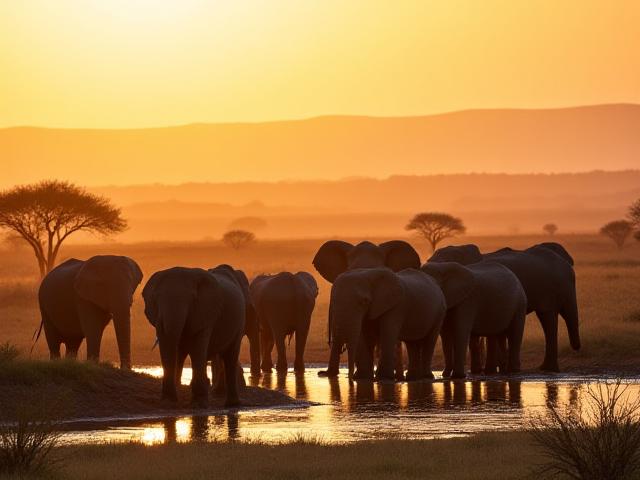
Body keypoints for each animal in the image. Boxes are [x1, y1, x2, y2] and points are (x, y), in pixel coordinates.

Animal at [142, 265, 245, 407]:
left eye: (191, 299)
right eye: (156, 299)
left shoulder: (205, 313)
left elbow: (197, 347)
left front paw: (199, 404)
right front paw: (169, 402)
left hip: (239, 323)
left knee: (230, 355)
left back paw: (232, 404)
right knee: (182, 353)